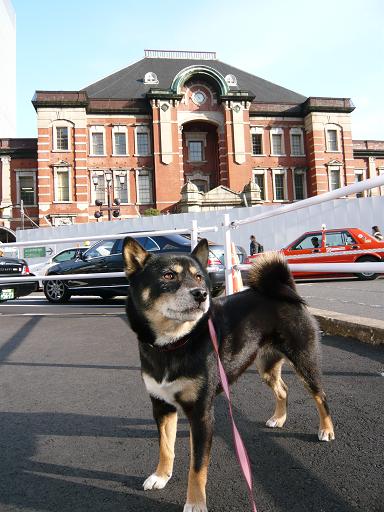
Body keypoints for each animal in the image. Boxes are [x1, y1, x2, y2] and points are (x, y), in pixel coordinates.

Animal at [122, 238, 332, 510]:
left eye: (199, 277)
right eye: (168, 276)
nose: (201, 294)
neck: (174, 344)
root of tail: (286, 289)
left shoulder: (201, 413)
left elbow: (197, 467)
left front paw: (196, 503)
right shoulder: (161, 406)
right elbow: (165, 448)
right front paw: (161, 476)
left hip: (305, 362)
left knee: (320, 396)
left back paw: (326, 430)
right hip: (266, 367)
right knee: (283, 389)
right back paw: (279, 418)